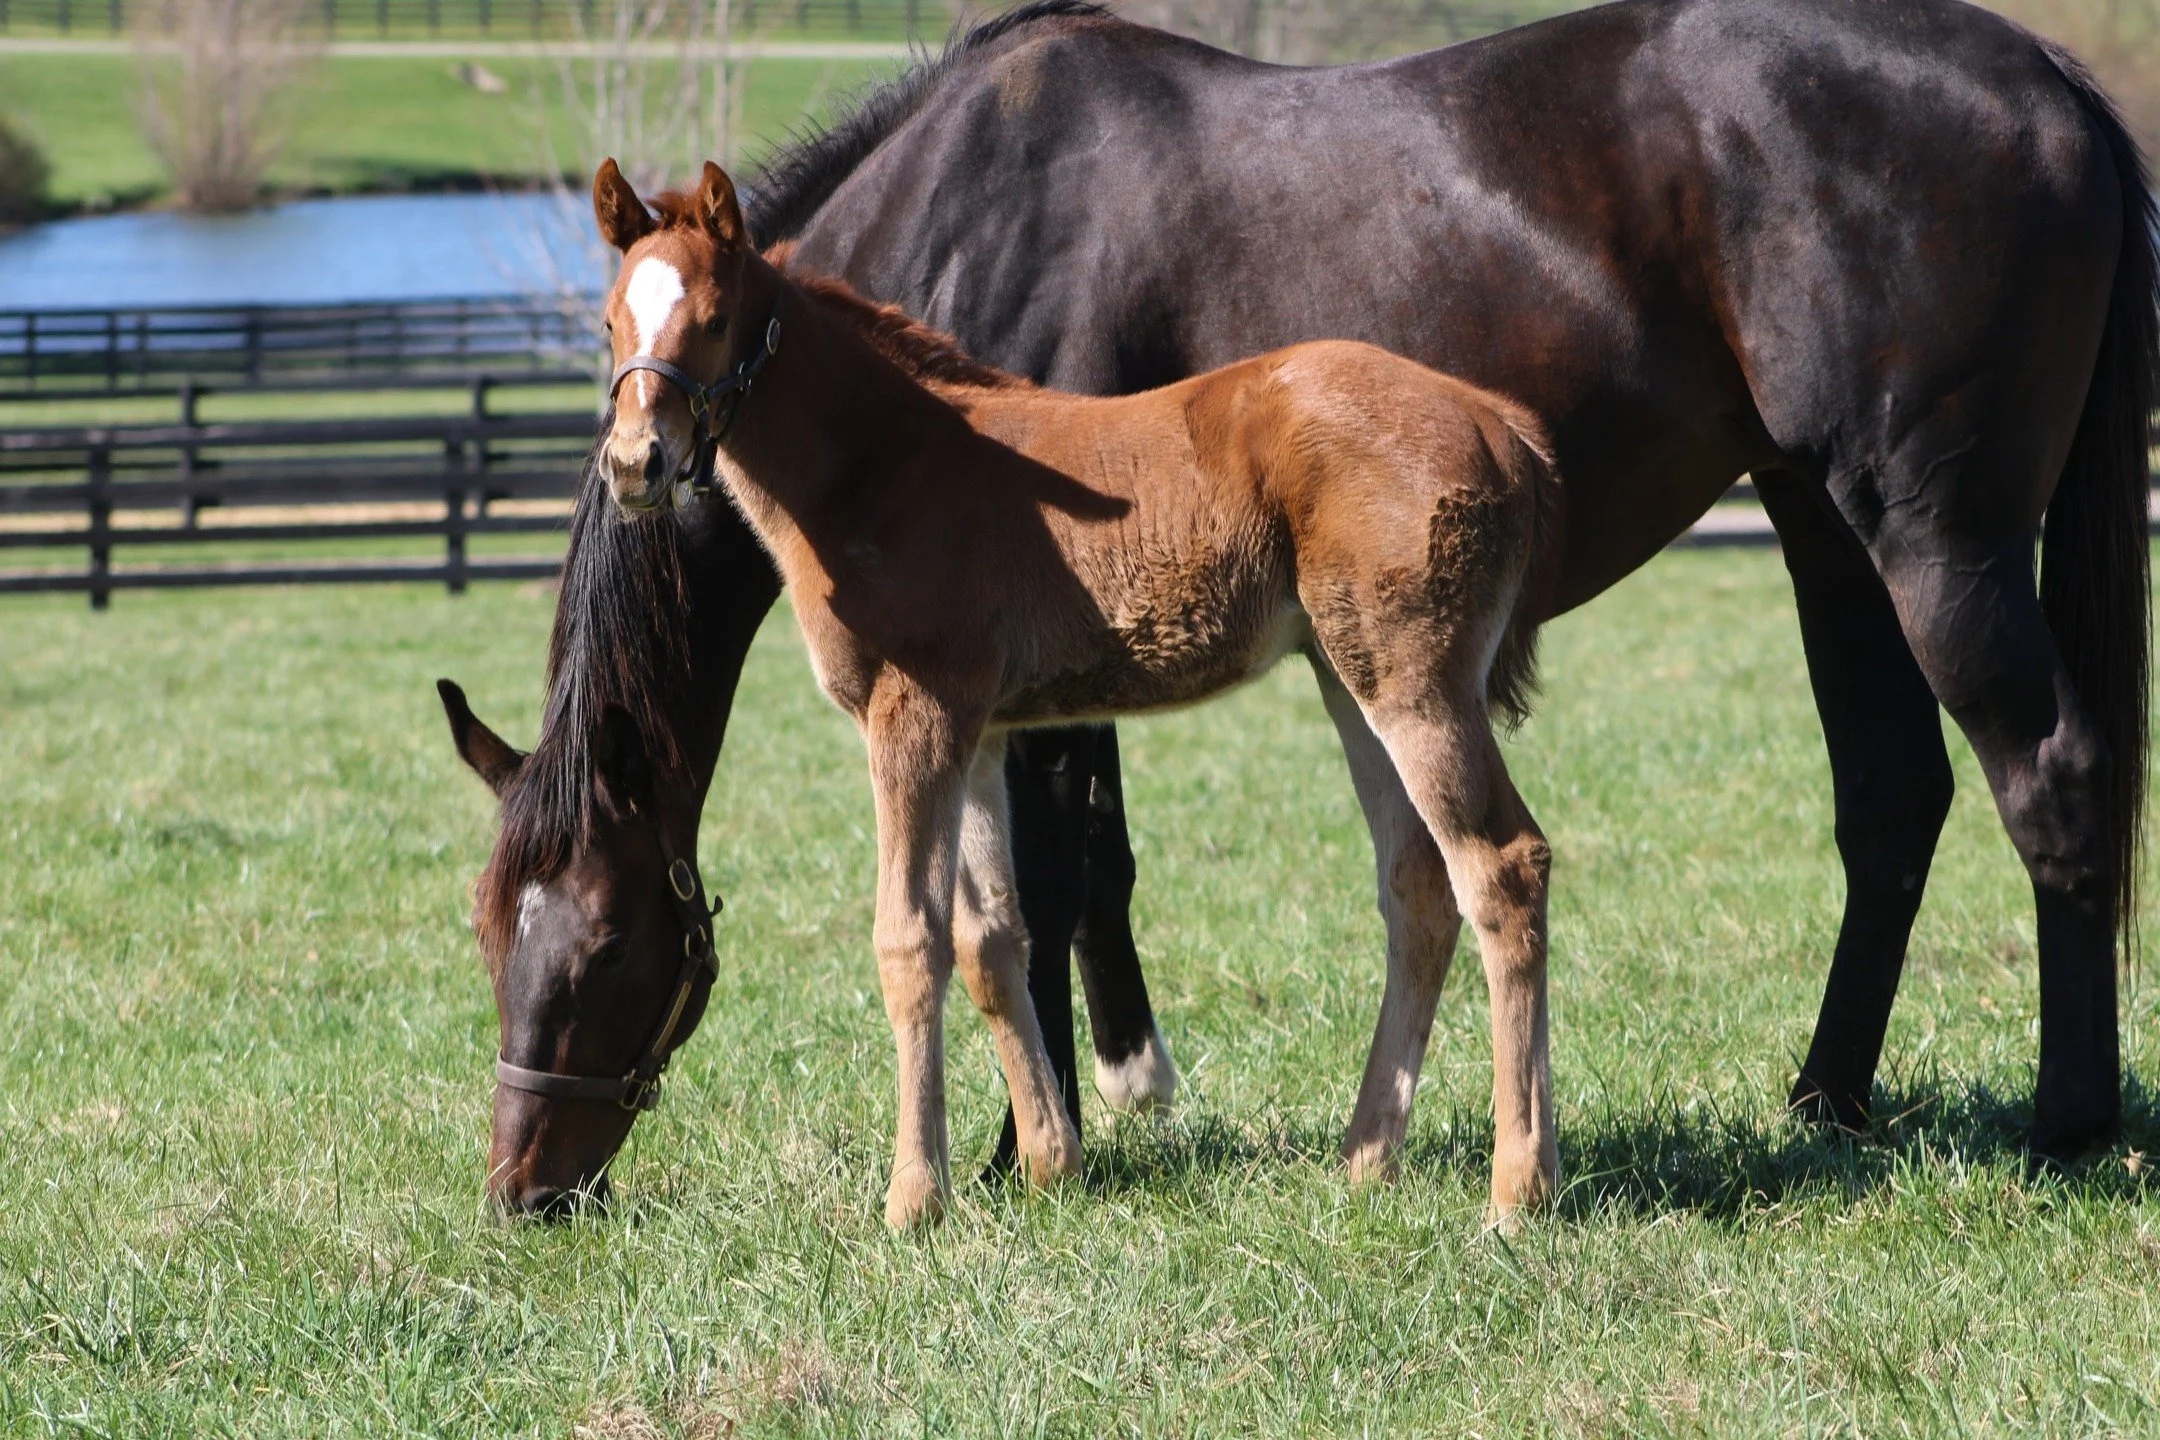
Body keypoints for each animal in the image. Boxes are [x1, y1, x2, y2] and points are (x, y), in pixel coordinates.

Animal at [584, 156, 1564, 1226]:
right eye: (610, 323)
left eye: (715, 319)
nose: (635, 465)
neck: (888, 466)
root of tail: (1499, 424)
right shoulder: (974, 732)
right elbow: (987, 937)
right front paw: (1051, 1164)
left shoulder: (912, 715)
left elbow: (908, 941)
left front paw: (914, 1197)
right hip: (1351, 680)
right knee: (1419, 884)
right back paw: (1368, 1157)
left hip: (1416, 683)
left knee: (1503, 867)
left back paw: (1520, 1189)